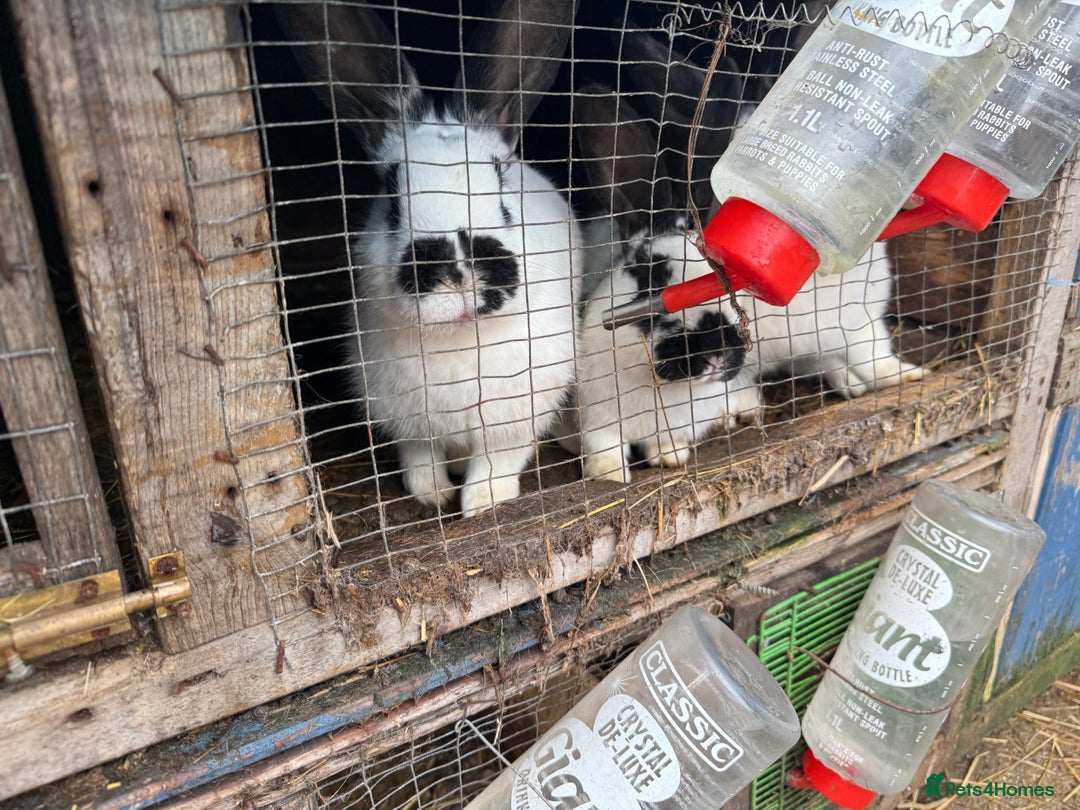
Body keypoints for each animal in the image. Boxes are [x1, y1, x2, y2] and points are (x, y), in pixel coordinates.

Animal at [275, 0, 583, 517]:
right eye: (391, 197)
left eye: (501, 188)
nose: (455, 270)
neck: (458, 338)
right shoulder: (405, 417)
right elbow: (420, 457)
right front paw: (433, 494)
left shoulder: (515, 414)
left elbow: (497, 461)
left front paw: (480, 504)